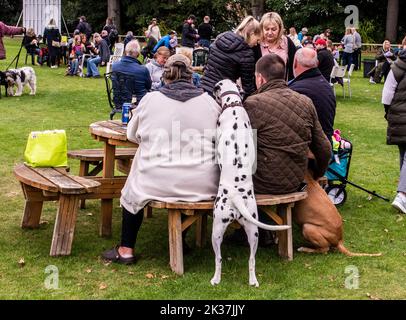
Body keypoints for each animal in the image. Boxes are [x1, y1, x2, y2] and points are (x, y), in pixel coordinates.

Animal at [211, 79, 290, 288]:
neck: (233, 105)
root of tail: (236, 197)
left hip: (217, 229)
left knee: (218, 258)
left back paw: (215, 279)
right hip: (253, 231)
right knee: (252, 259)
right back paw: (253, 280)